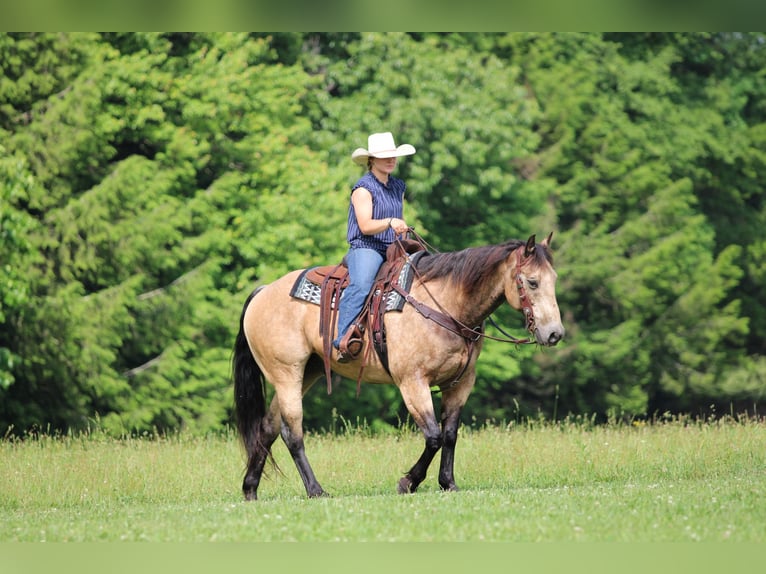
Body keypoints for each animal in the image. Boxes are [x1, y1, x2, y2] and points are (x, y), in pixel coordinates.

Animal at [232, 233, 564, 500]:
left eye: (554, 280)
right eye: (532, 282)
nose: (554, 334)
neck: (447, 304)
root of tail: (263, 291)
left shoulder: (459, 384)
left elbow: (450, 434)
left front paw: (448, 483)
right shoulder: (412, 382)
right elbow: (433, 436)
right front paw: (409, 482)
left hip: (306, 373)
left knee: (267, 427)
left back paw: (250, 489)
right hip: (286, 373)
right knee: (292, 432)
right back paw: (316, 490)